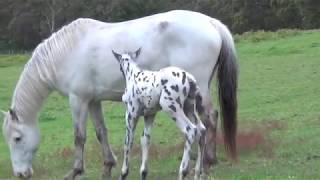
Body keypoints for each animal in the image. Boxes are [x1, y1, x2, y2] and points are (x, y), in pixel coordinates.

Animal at [112, 48, 208, 180]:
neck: (133, 76)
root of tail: (189, 78)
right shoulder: (149, 116)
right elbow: (145, 140)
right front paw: (143, 172)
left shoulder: (131, 115)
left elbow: (128, 142)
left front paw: (123, 173)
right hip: (189, 108)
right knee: (202, 130)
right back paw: (198, 173)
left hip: (171, 107)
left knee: (191, 130)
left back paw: (182, 171)